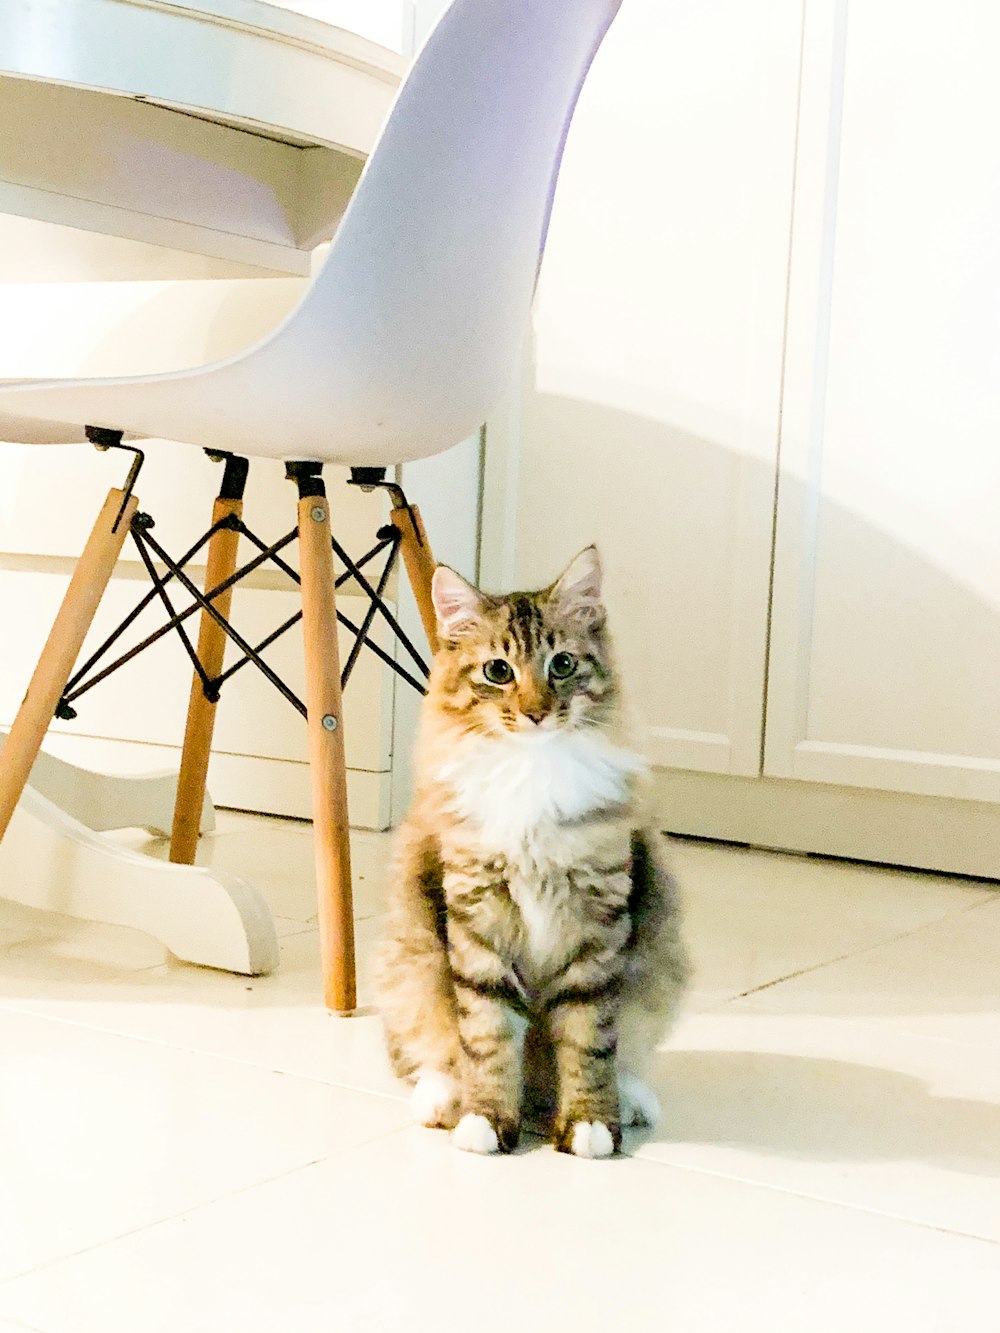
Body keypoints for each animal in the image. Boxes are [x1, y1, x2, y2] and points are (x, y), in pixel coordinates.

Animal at [376, 543, 688, 1157]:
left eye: (562, 665)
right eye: (498, 671)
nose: (537, 711)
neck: (532, 770)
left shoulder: (599, 922)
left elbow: (590, 1041)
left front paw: (591, 1123)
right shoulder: (477, 921)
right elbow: (488, 1035)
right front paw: (487, 1119)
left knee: (628, 1055)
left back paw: (631, 1100)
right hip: (410, 959)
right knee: (433, 1051)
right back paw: (442, 1098)